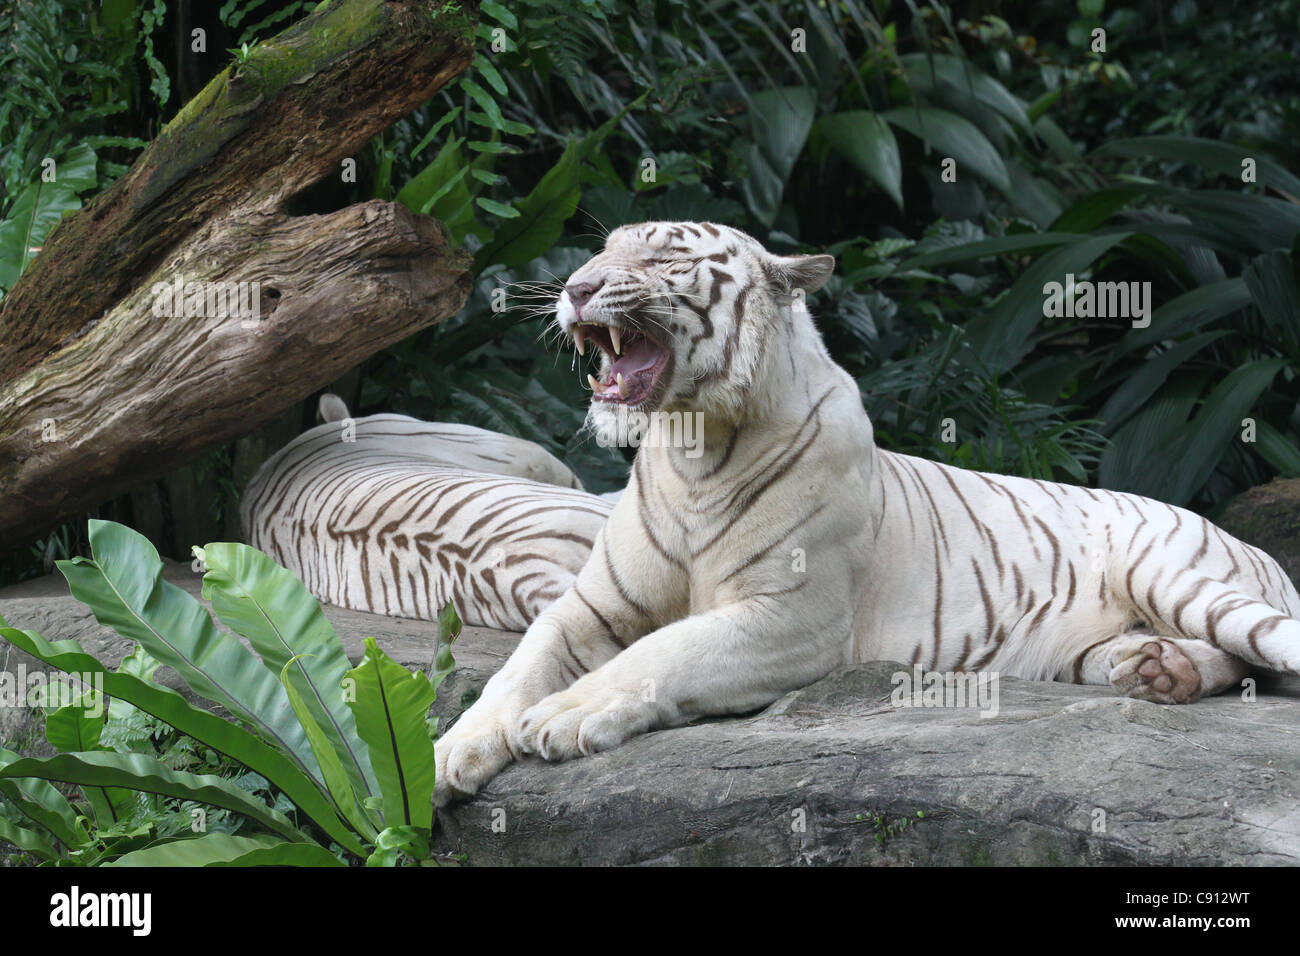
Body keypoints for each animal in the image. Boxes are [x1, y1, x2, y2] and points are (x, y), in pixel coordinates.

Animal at [434, 221, 1300, 806]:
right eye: (599, 253)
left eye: (664, 258)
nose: (576, 288)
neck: (690, 449)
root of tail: (1252, 546)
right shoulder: (589, 605)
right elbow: (519, 667)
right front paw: (448, 755)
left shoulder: (791, 617)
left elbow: (661, 654)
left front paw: (564, 718)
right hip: (1084, 649)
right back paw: (1158, 670)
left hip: (1173, 570)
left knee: (1263, 647)